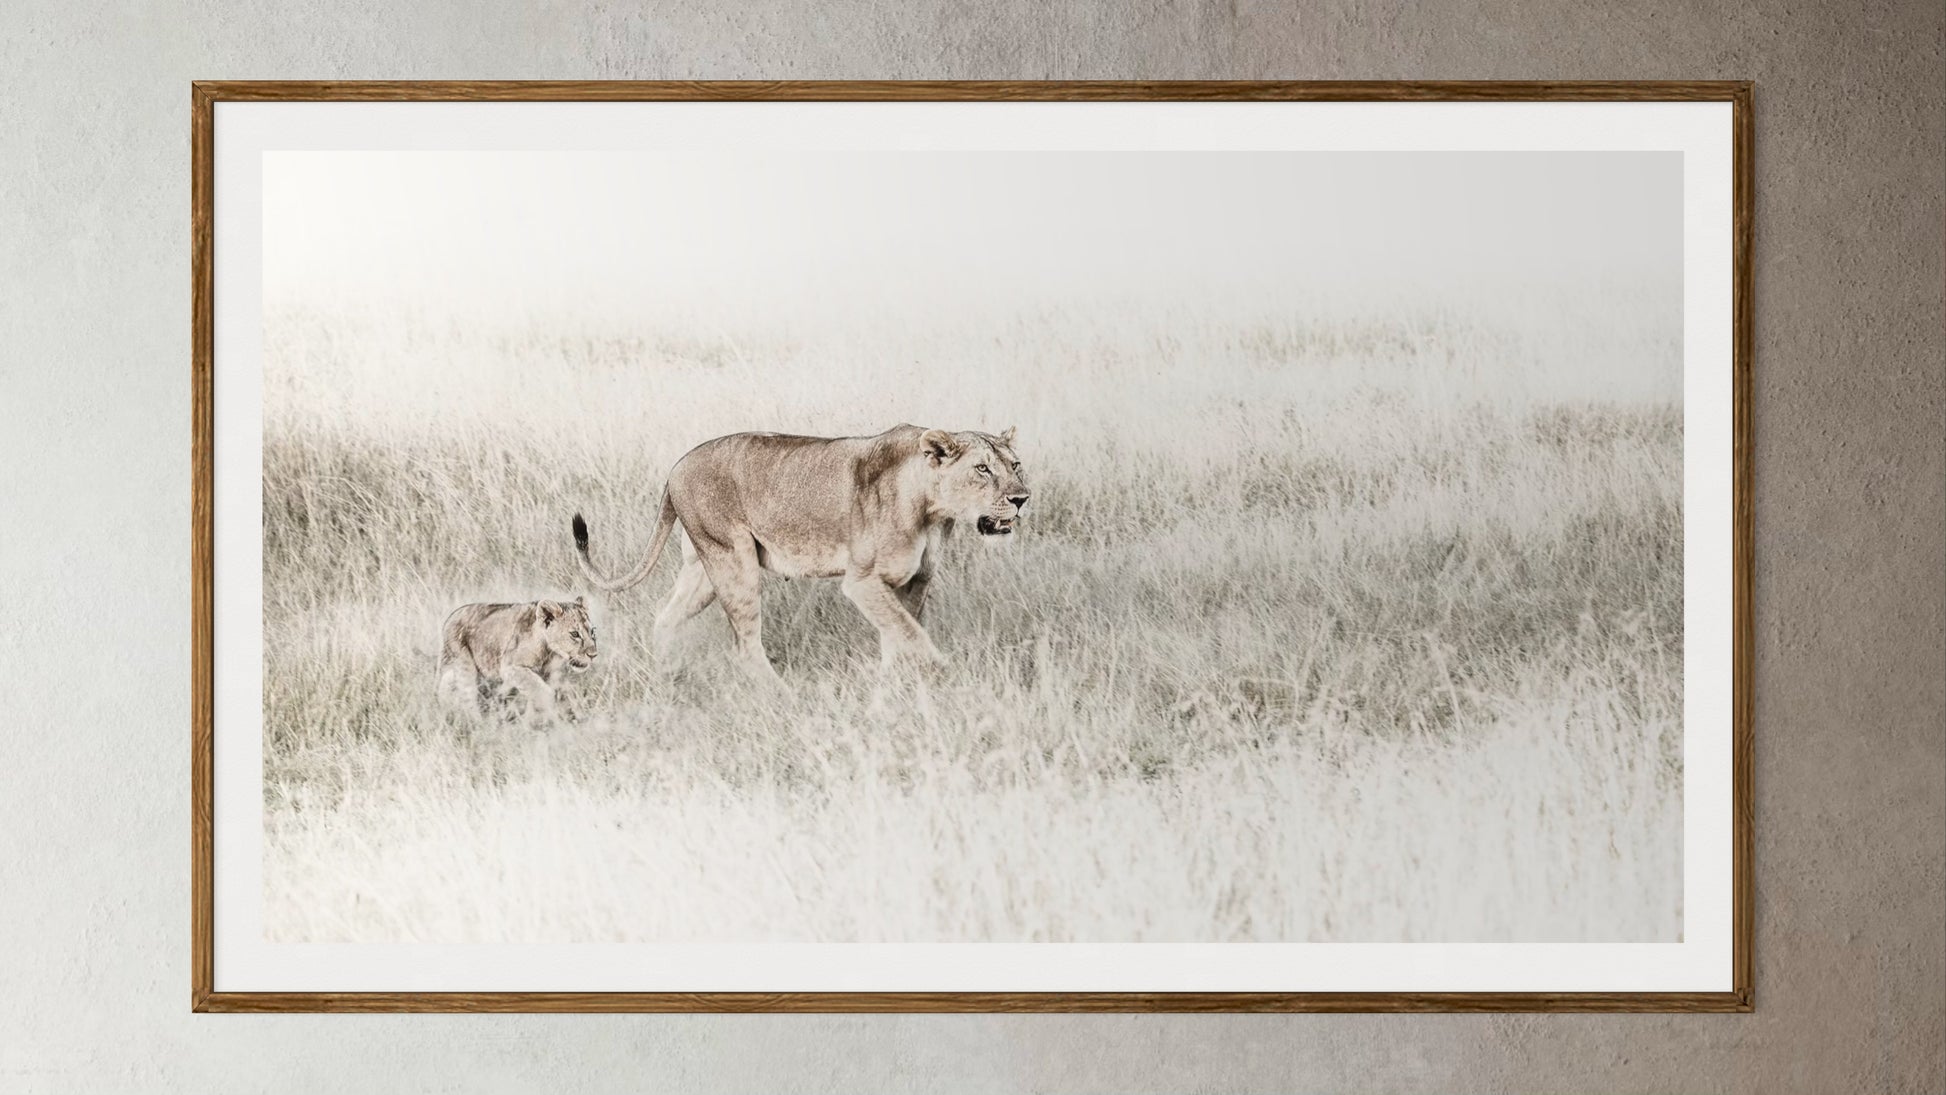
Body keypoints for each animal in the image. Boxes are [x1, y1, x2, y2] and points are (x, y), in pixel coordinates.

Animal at [437, 596, 598, 722]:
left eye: (592, 632)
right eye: (575, 634)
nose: (593, 655)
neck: (550, 652)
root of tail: (450, 618)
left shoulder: (554, 674)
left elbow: (569, 693)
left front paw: (582, 717)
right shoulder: (510, 667)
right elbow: (541, 690)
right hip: (464, 667)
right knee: (468, 698)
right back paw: (478, 725)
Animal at [571, 424, 1029, 678]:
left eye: (1016, 465)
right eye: (982, 468)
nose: (1022, 498)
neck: (933, 510)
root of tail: (675, 468)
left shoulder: (914, 580)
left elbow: (899, 633)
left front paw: (893, 686)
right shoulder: (863, 582)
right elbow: (912, 634)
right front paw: (946, 675)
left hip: (703, 567)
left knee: (664, 616)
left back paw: (665, 673)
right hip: (734, 562)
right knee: (745, 644)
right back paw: (780, 696)